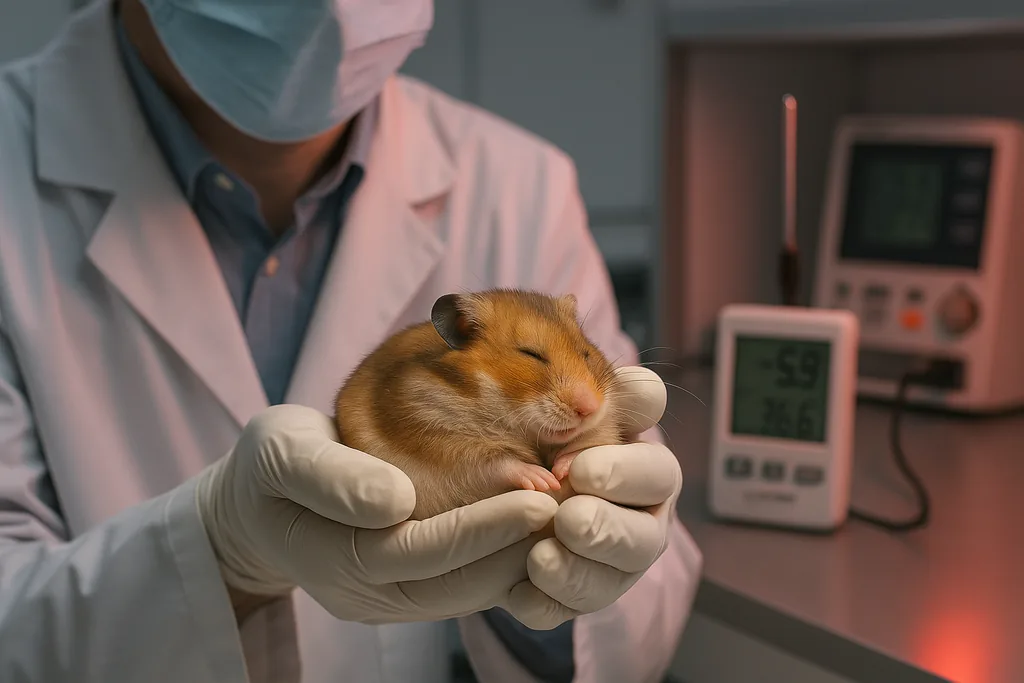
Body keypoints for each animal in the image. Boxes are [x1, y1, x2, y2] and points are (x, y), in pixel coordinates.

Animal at [334, 288, 630, 520]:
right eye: (531, 354)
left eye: (586, 353)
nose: (590, 408)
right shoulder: (438, 435)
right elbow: (498, 463)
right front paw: (544, 479)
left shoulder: (605, 421)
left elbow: (590, 441)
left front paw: (561, 468)